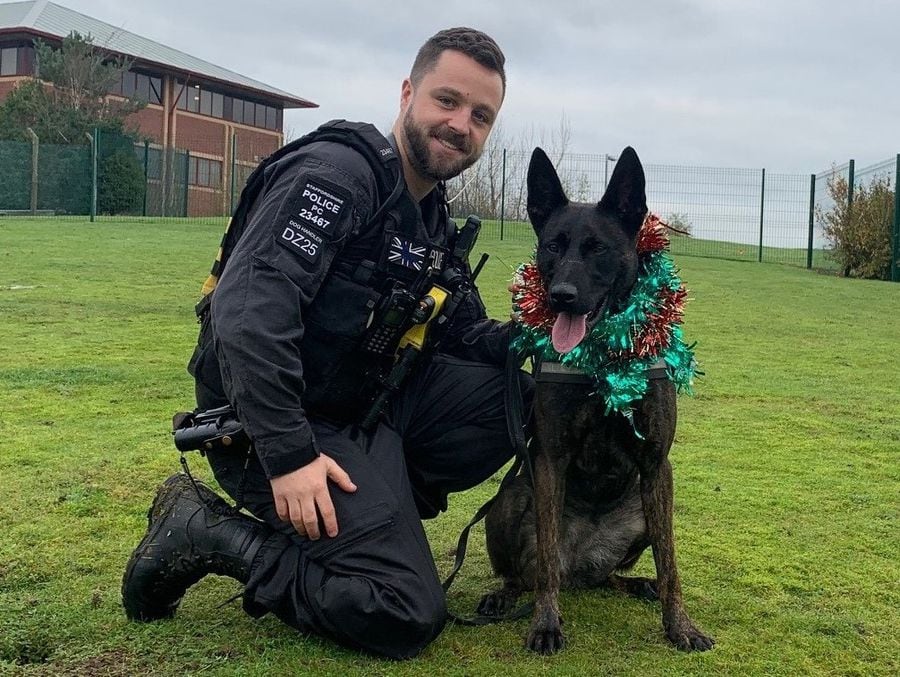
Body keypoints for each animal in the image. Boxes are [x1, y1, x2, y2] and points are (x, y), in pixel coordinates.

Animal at [482, 145, 712, 652]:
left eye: (597, 249)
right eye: (553, 246)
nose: (560, 296)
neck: (602, 357)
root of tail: (582, 563)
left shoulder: (656, 464)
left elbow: (671, 563)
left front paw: (680, 626)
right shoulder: (549, 460)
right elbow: (545, 562)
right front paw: (546, 624)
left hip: (644, 509)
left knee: (611, 576)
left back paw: (639, 584)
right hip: (511, 497)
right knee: (527, 573)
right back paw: (503, 596)